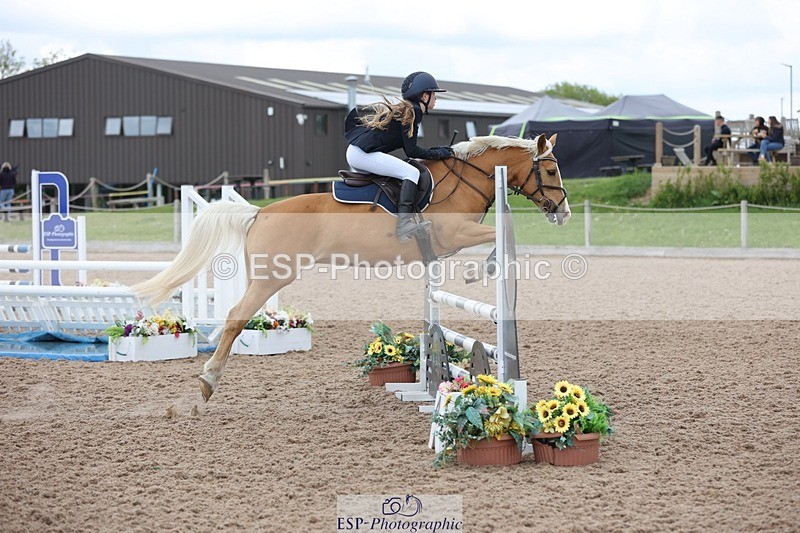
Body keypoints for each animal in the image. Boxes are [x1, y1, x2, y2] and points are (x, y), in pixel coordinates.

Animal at [133, 133, 570, 401]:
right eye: (550, 170)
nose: (563, 213)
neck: (467, 179)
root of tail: (260, 212)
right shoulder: (454, 234)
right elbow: (501, 237)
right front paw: (481, 271)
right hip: (272, 277)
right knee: (236, 317)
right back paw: (208, 380)